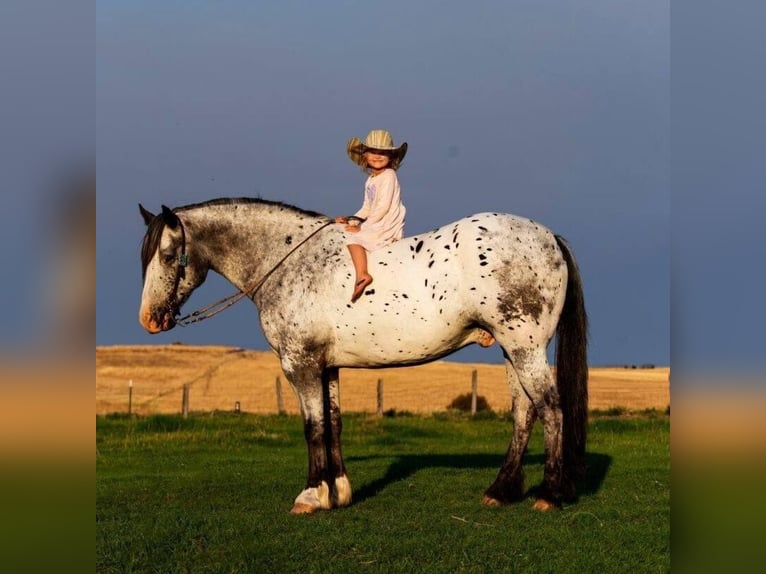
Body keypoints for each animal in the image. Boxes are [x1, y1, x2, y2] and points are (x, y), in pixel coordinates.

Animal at [138, 200, 592, 516]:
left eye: (166, 255)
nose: (150, 320)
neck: (290, 262)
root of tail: (549, 237)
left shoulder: (301, 366)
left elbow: (313, 427)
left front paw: (311, 495)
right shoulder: (328, 367)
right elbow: (333, 424)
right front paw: (338, 491)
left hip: (524, 348)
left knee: (552, 410)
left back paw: (551, 494)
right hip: (512, 351)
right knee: (524, 413)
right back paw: (501, 491)